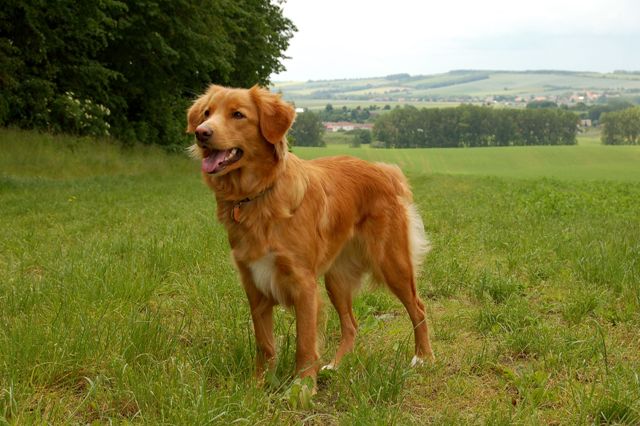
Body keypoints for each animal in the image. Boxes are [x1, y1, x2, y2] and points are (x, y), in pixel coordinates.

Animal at [186, 84, 436, 382]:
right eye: (206, 113)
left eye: (238, 114)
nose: (201, 132)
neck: (258, 195)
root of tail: (384, 170)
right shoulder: (254, 283)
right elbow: (264, 344)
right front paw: (259, 384)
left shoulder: (303, 283)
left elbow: (305, 344)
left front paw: (303, 385)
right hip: (336, 280)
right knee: (351, 324)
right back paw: (337, 365)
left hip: (392, 263)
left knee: (418, 307)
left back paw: (423, 357)